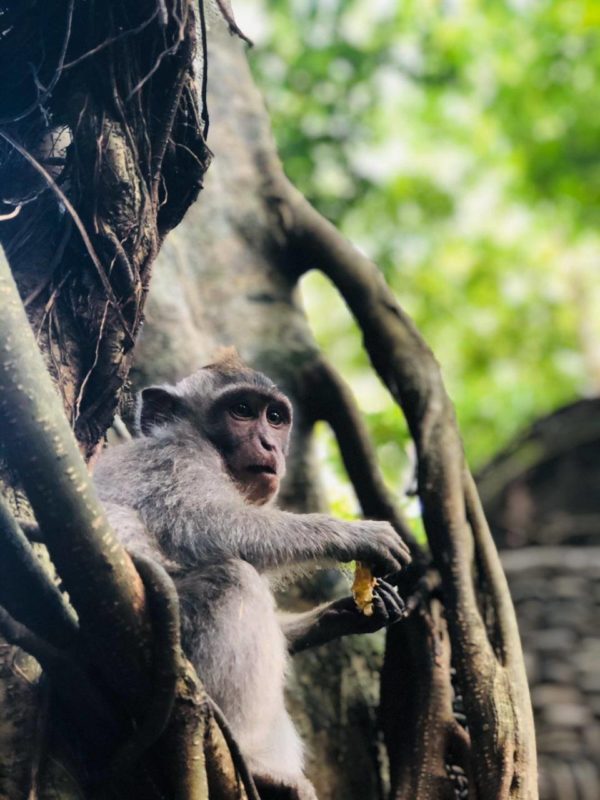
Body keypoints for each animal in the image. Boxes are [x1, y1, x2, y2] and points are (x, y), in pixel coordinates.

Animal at [94, 352, 410, 800]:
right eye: (242, 410)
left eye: (274, 417)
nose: (270, 444)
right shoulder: (177, 460)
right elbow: (207, 527)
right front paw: (354, 534)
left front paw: (343, 613)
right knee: (232, 579)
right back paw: (255, 764)